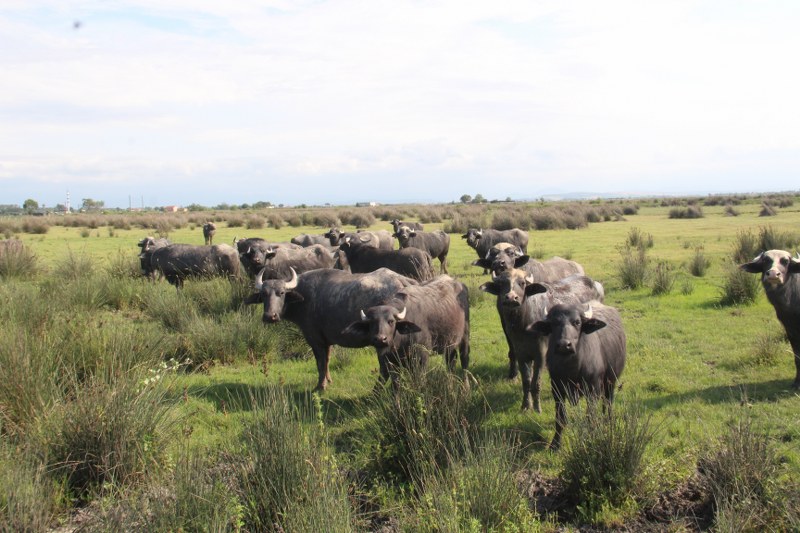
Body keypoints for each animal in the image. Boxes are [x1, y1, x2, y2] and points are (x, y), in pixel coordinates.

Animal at [244, 268, 418, 388]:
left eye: (281, 293)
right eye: (264, 294)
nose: (270, 316)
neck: (304, 299)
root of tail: (402, 281)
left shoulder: (315, 340)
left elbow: (320, 363)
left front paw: (321, 386)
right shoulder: (326, 341)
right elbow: (326, 360)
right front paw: (329, 380)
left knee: (386, 369)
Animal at [478, 270, 604, 412]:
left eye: (522, 283)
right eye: (502, 284)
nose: (511, 298)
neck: (523, 325)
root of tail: (595, 283)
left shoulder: (540, 354)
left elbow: (536, 383)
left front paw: (537, 408)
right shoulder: (521, 354)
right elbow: (527, 382)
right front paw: (526, 405)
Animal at [528, 302, 628, 446]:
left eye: (577, 322)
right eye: (554, 323)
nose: (564, 345)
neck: (572, 369)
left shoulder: (593, 390)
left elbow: (590, 417)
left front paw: (590, 439)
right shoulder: (557, 388)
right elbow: (560, 418)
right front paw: (555, 443)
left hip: (611, 380)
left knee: (608, 403)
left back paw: (608, 423)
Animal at [736, 249, 800, 386]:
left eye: (785, 261)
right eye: (766, 260)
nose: (773, 274)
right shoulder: (790, 330)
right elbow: (797, 356)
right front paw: (797, 382)